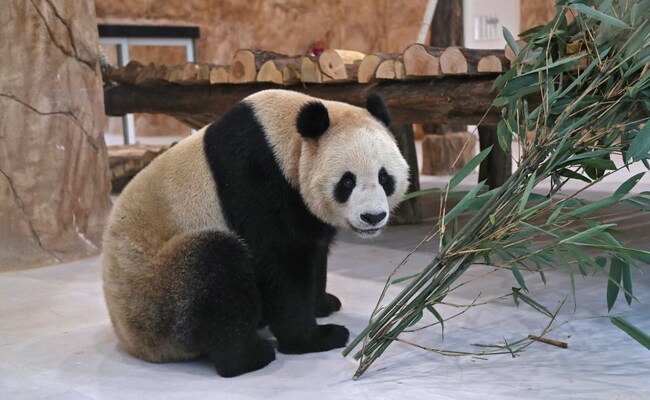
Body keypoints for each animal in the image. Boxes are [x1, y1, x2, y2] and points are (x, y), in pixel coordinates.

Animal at [102, 89, 410, 377]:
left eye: (384, 177)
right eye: (347, 182)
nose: (373, 217)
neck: (285, 140)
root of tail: (130, 340)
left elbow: (314, 249)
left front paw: (323, 303)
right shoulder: (256, 176)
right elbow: (280, 261)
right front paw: (314, 338)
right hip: (156, 291)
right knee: (214, 271)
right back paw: (250, 357)